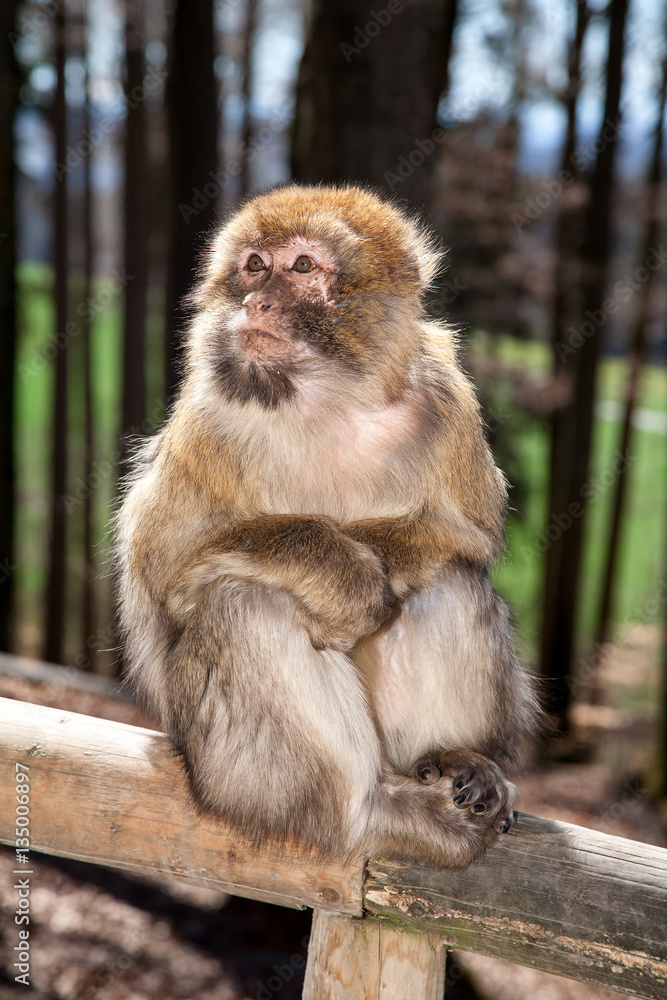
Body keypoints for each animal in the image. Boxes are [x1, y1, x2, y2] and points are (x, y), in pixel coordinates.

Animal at [116, 184, 539, 868]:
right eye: (254, 265)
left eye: (302, 267)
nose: (257, 301)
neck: (325, 397)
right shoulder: (209, 417)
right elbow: (168, 563)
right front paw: (346, 576)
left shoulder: (448, 399)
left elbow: (466, 536)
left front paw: (376, 561)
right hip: (232, 773)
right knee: (243, 604)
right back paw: (371, 812)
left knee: (450, 580)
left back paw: (458, 759)